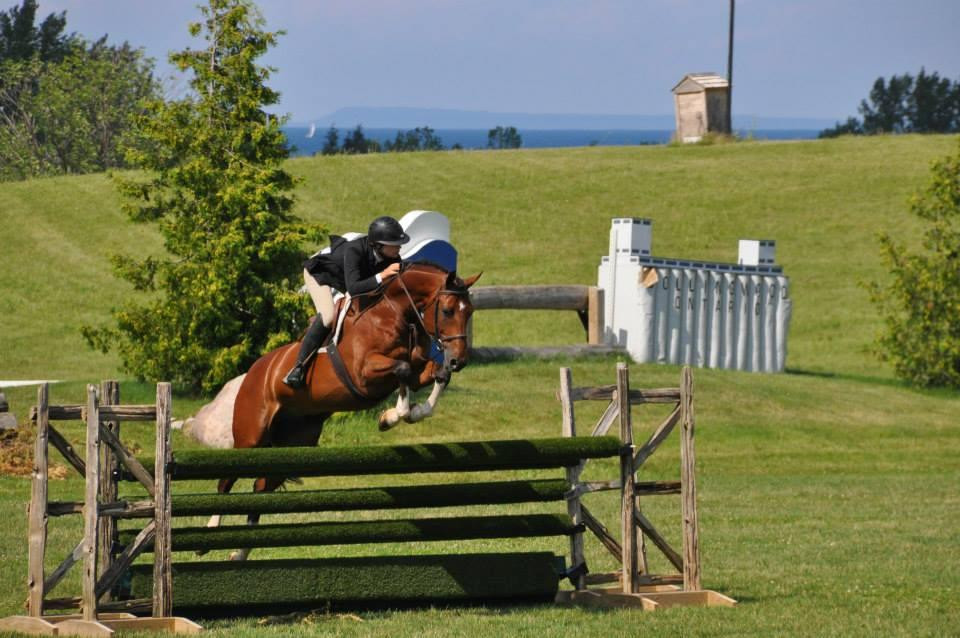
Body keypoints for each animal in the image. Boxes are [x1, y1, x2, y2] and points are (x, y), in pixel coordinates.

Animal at [208, 262, 480, 558]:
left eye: (470, 311)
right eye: (447, 310)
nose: (459, 360)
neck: (396, 313)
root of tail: (254, 371)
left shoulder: (420, 369)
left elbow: (435, 375)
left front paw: (405, 414)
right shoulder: (363, 373)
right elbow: (402, 369)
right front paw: (391, 417)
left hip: (295, 444)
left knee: (261, 487)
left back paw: (241, 551)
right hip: (251, 437)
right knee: (226, 480)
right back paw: (210, 532)